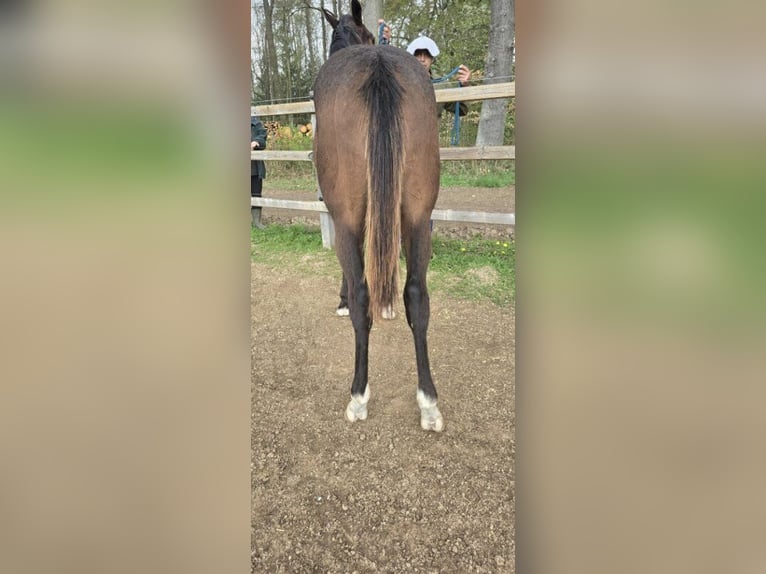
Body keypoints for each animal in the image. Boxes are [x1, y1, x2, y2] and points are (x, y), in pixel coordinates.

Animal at [313, 0, 443, 431]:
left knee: (361, 296)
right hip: (419, 214)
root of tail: (378, 64)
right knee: (417, 295)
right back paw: (428, 401)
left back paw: (358, 395)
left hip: (349, 215)